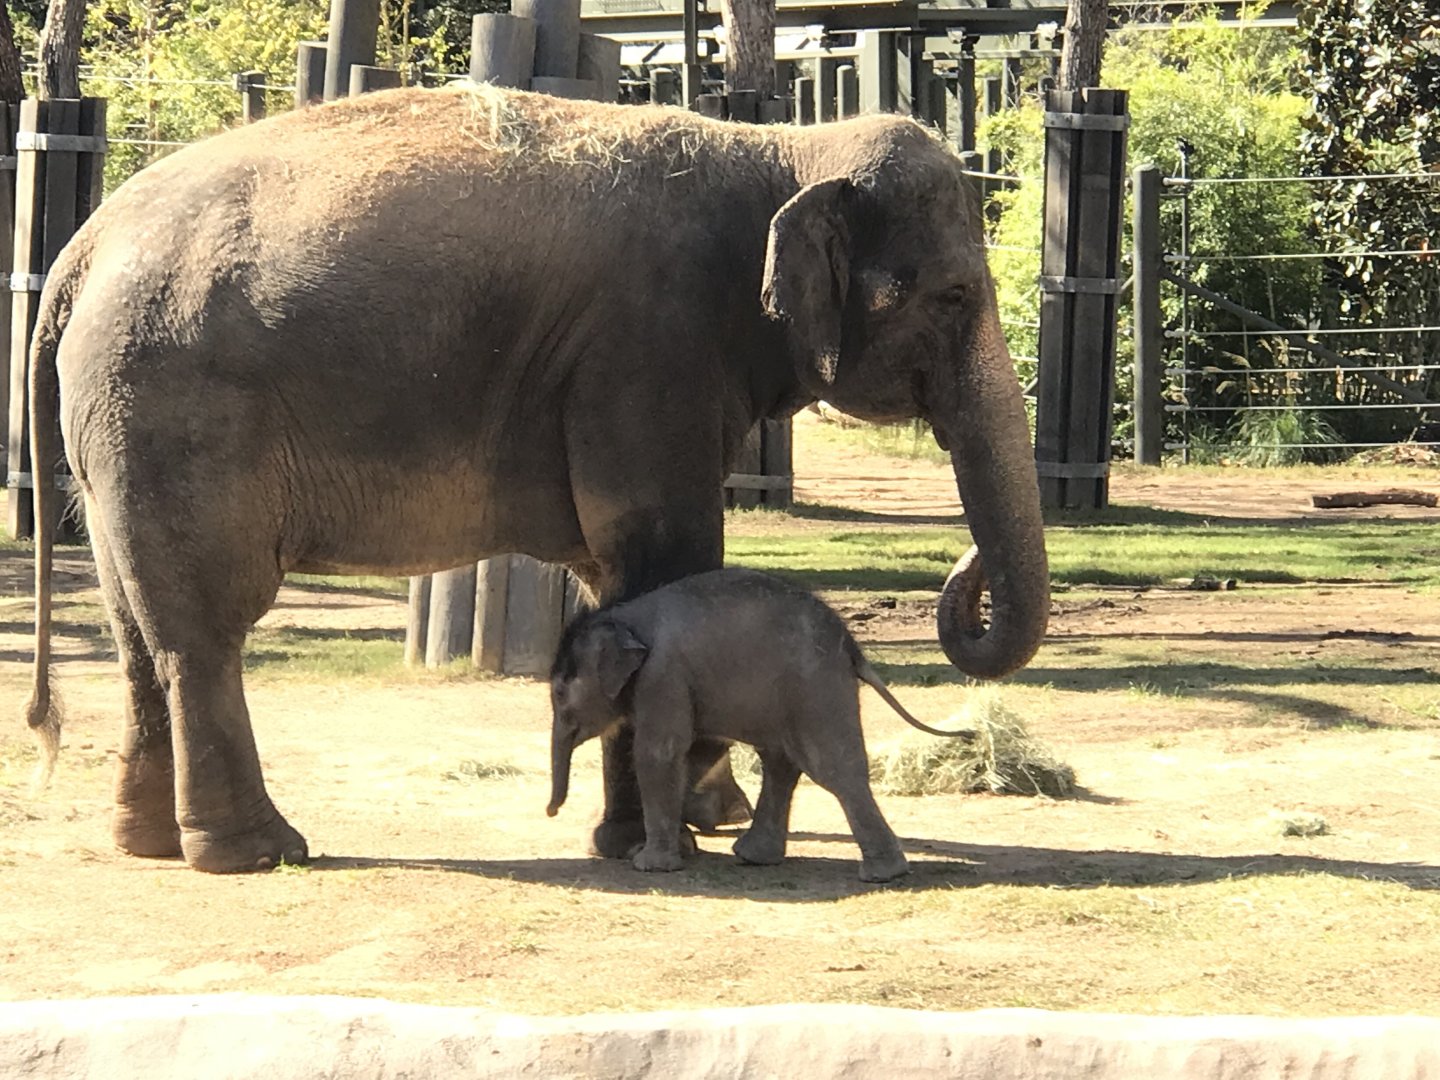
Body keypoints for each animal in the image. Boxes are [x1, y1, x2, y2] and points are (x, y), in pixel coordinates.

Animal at [546, 568, 978, 882]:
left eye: (559, 693)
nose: (551, 812)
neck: (624, 616)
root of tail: (853, 647)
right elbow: (696, 748)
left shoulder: (662, 676)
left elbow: (661, 752)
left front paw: (648, 863)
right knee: (781, 763)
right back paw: (754, 856)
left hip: (815, 688)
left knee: (831, 767)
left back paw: (883, 874)